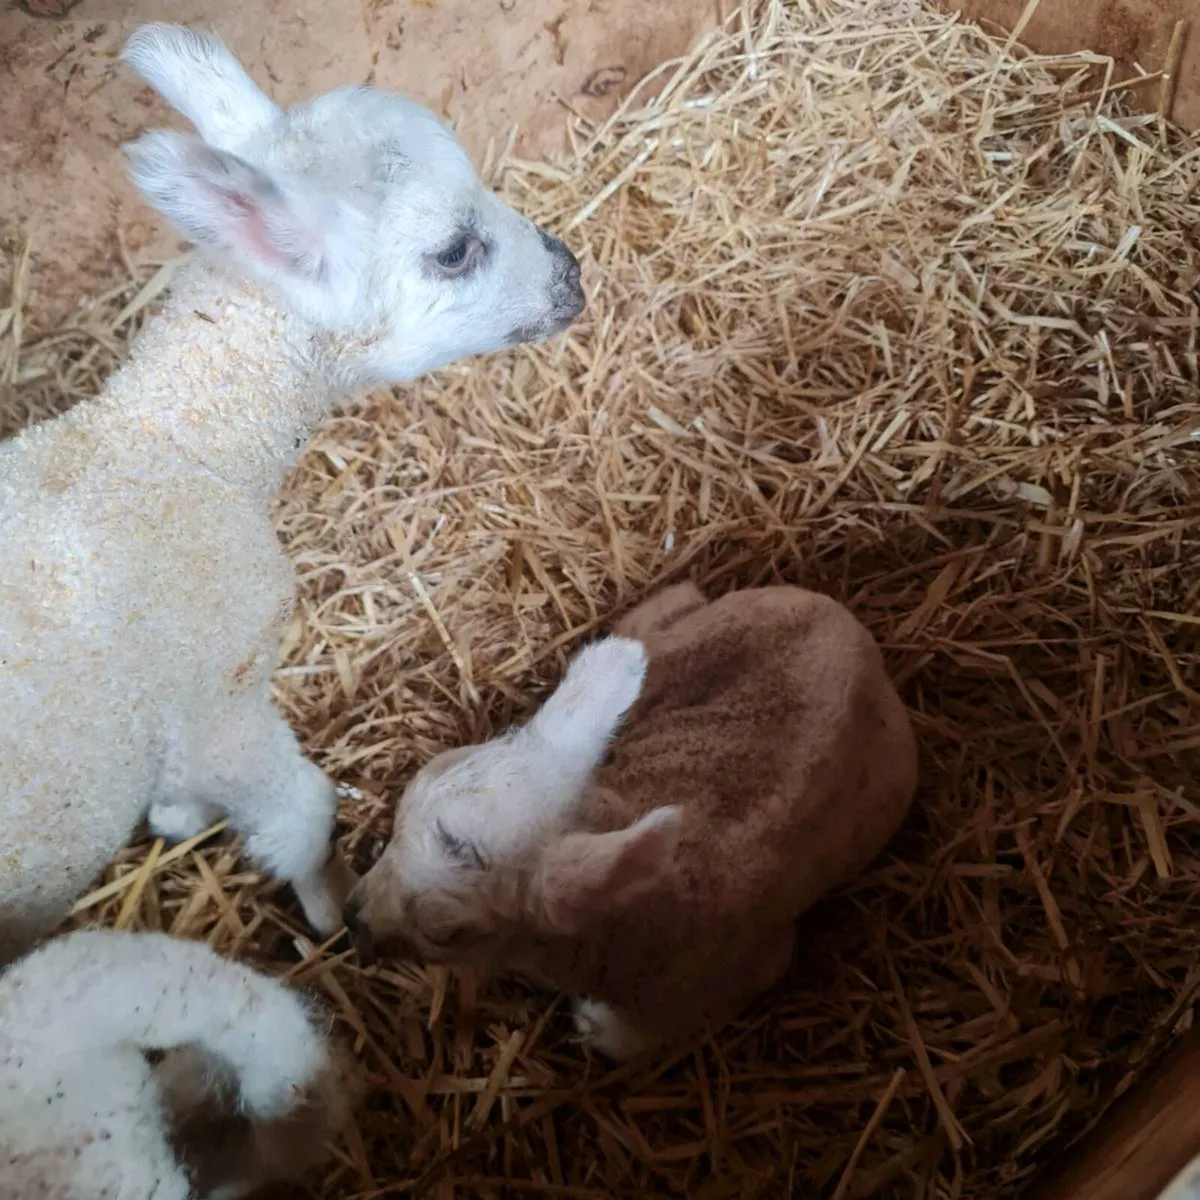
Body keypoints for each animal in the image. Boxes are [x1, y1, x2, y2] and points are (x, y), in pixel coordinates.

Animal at [0, 23, 586, 962]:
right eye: (453, 250)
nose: (571, 274)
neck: (176, 447)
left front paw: (178, 816)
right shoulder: (219, 699)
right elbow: (300, 813)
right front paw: (330, 906)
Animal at [343, 583, 918, 1060]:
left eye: (447, 932)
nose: (353, 917)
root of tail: (838, 617)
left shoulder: (752, 966)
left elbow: (616, 1038)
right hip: (680, 622)